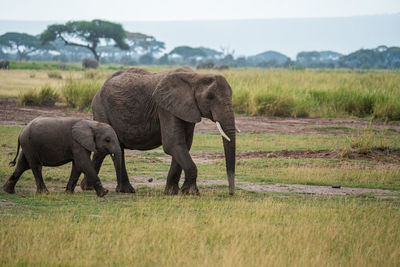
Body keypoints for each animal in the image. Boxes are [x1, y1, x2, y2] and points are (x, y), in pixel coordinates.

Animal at [82, 67, 238, 196]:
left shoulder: (186, 109)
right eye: (210, 97)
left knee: (116, 148)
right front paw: (191, 193)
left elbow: (183, 145)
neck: (195, 76)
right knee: (105, 148)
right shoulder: (165, 108)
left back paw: (117, 190)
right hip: (101, 109)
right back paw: (92, 188)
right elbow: (172, 143)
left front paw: (172, 192)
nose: (231, 193)